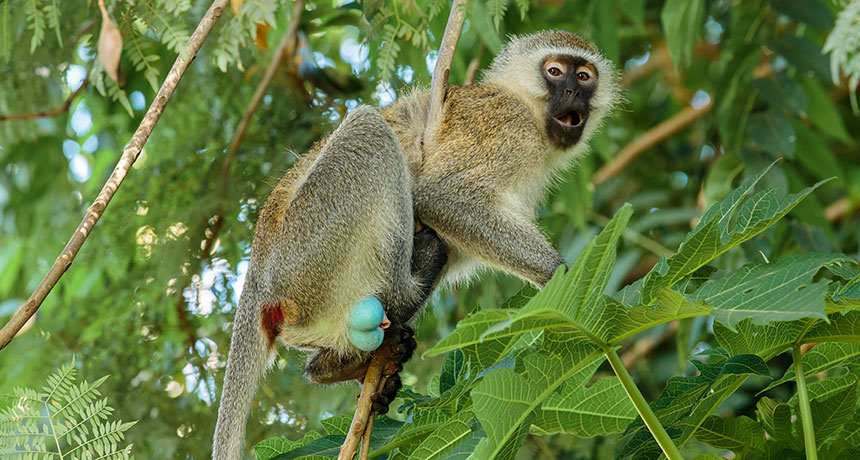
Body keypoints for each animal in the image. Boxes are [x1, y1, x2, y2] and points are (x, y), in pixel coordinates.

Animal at [213, 30, 617, 459]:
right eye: (555, 71)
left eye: (585, 76)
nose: (573, 90)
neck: (525, 104)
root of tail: (259, 275)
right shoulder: (505, 126)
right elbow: (441, 197)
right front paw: (563, 277)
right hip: (310, 244)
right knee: (369, 130)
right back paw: (404, 292)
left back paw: (333, 366)